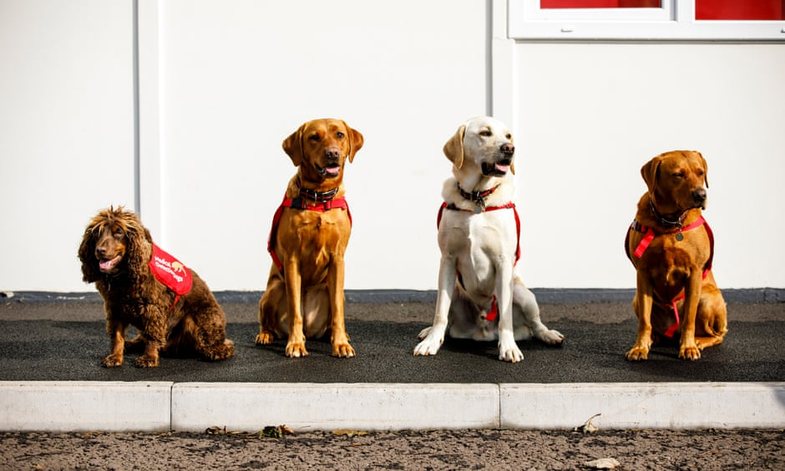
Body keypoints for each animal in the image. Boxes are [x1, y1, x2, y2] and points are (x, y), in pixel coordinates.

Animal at [79, 207, 233, 368]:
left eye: (119, 232)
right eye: (97, 233)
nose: (99, 250)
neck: (123, 277)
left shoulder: (152, 308)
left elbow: (152, 335)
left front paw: (148, 358)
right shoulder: (114, 307)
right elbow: (117, 336)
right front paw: (115, 357)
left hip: (196, 320)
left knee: (224, 346)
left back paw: (215, 352)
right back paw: (130, 344)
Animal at [256, 120, 362, 360]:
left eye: (339, 135)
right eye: (314, 137)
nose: (332, 153)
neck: (319, 198)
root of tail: (311, 329)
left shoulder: (338, 259)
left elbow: (338, 313)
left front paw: (341, 344)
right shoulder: (292, 259)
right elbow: (295, 309)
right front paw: (295, 344)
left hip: (334, 290)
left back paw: (335, 335)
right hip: (274, 289)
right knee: (270, 321)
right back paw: (266, 335)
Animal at [410, 116, 564, 364]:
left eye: (508, 136)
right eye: (485, 133)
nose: (509, 149)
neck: (477, 197)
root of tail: (482, 333)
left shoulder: (503, 262)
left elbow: (506, 317)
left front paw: (509, 348)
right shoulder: (447, 259)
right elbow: (440, 312)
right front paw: (431, 342)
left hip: (523, 293)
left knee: (534, 323)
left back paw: (547, 334)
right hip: (455, 289)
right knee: (447, 318)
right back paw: (430, 332)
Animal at [624, 151, 728, 362]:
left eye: (700, 172)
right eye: (678, 175)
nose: (701, 195)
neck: (669, 222)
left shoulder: (695, 273)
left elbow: (689, 318)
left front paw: (688, 347)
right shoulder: (643, 273)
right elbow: (645, 321)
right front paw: (639, 347)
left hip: (708, 299)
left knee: (716, 334)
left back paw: (698, 341)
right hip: (636, 299)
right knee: (654, 327)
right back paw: (653, 339)